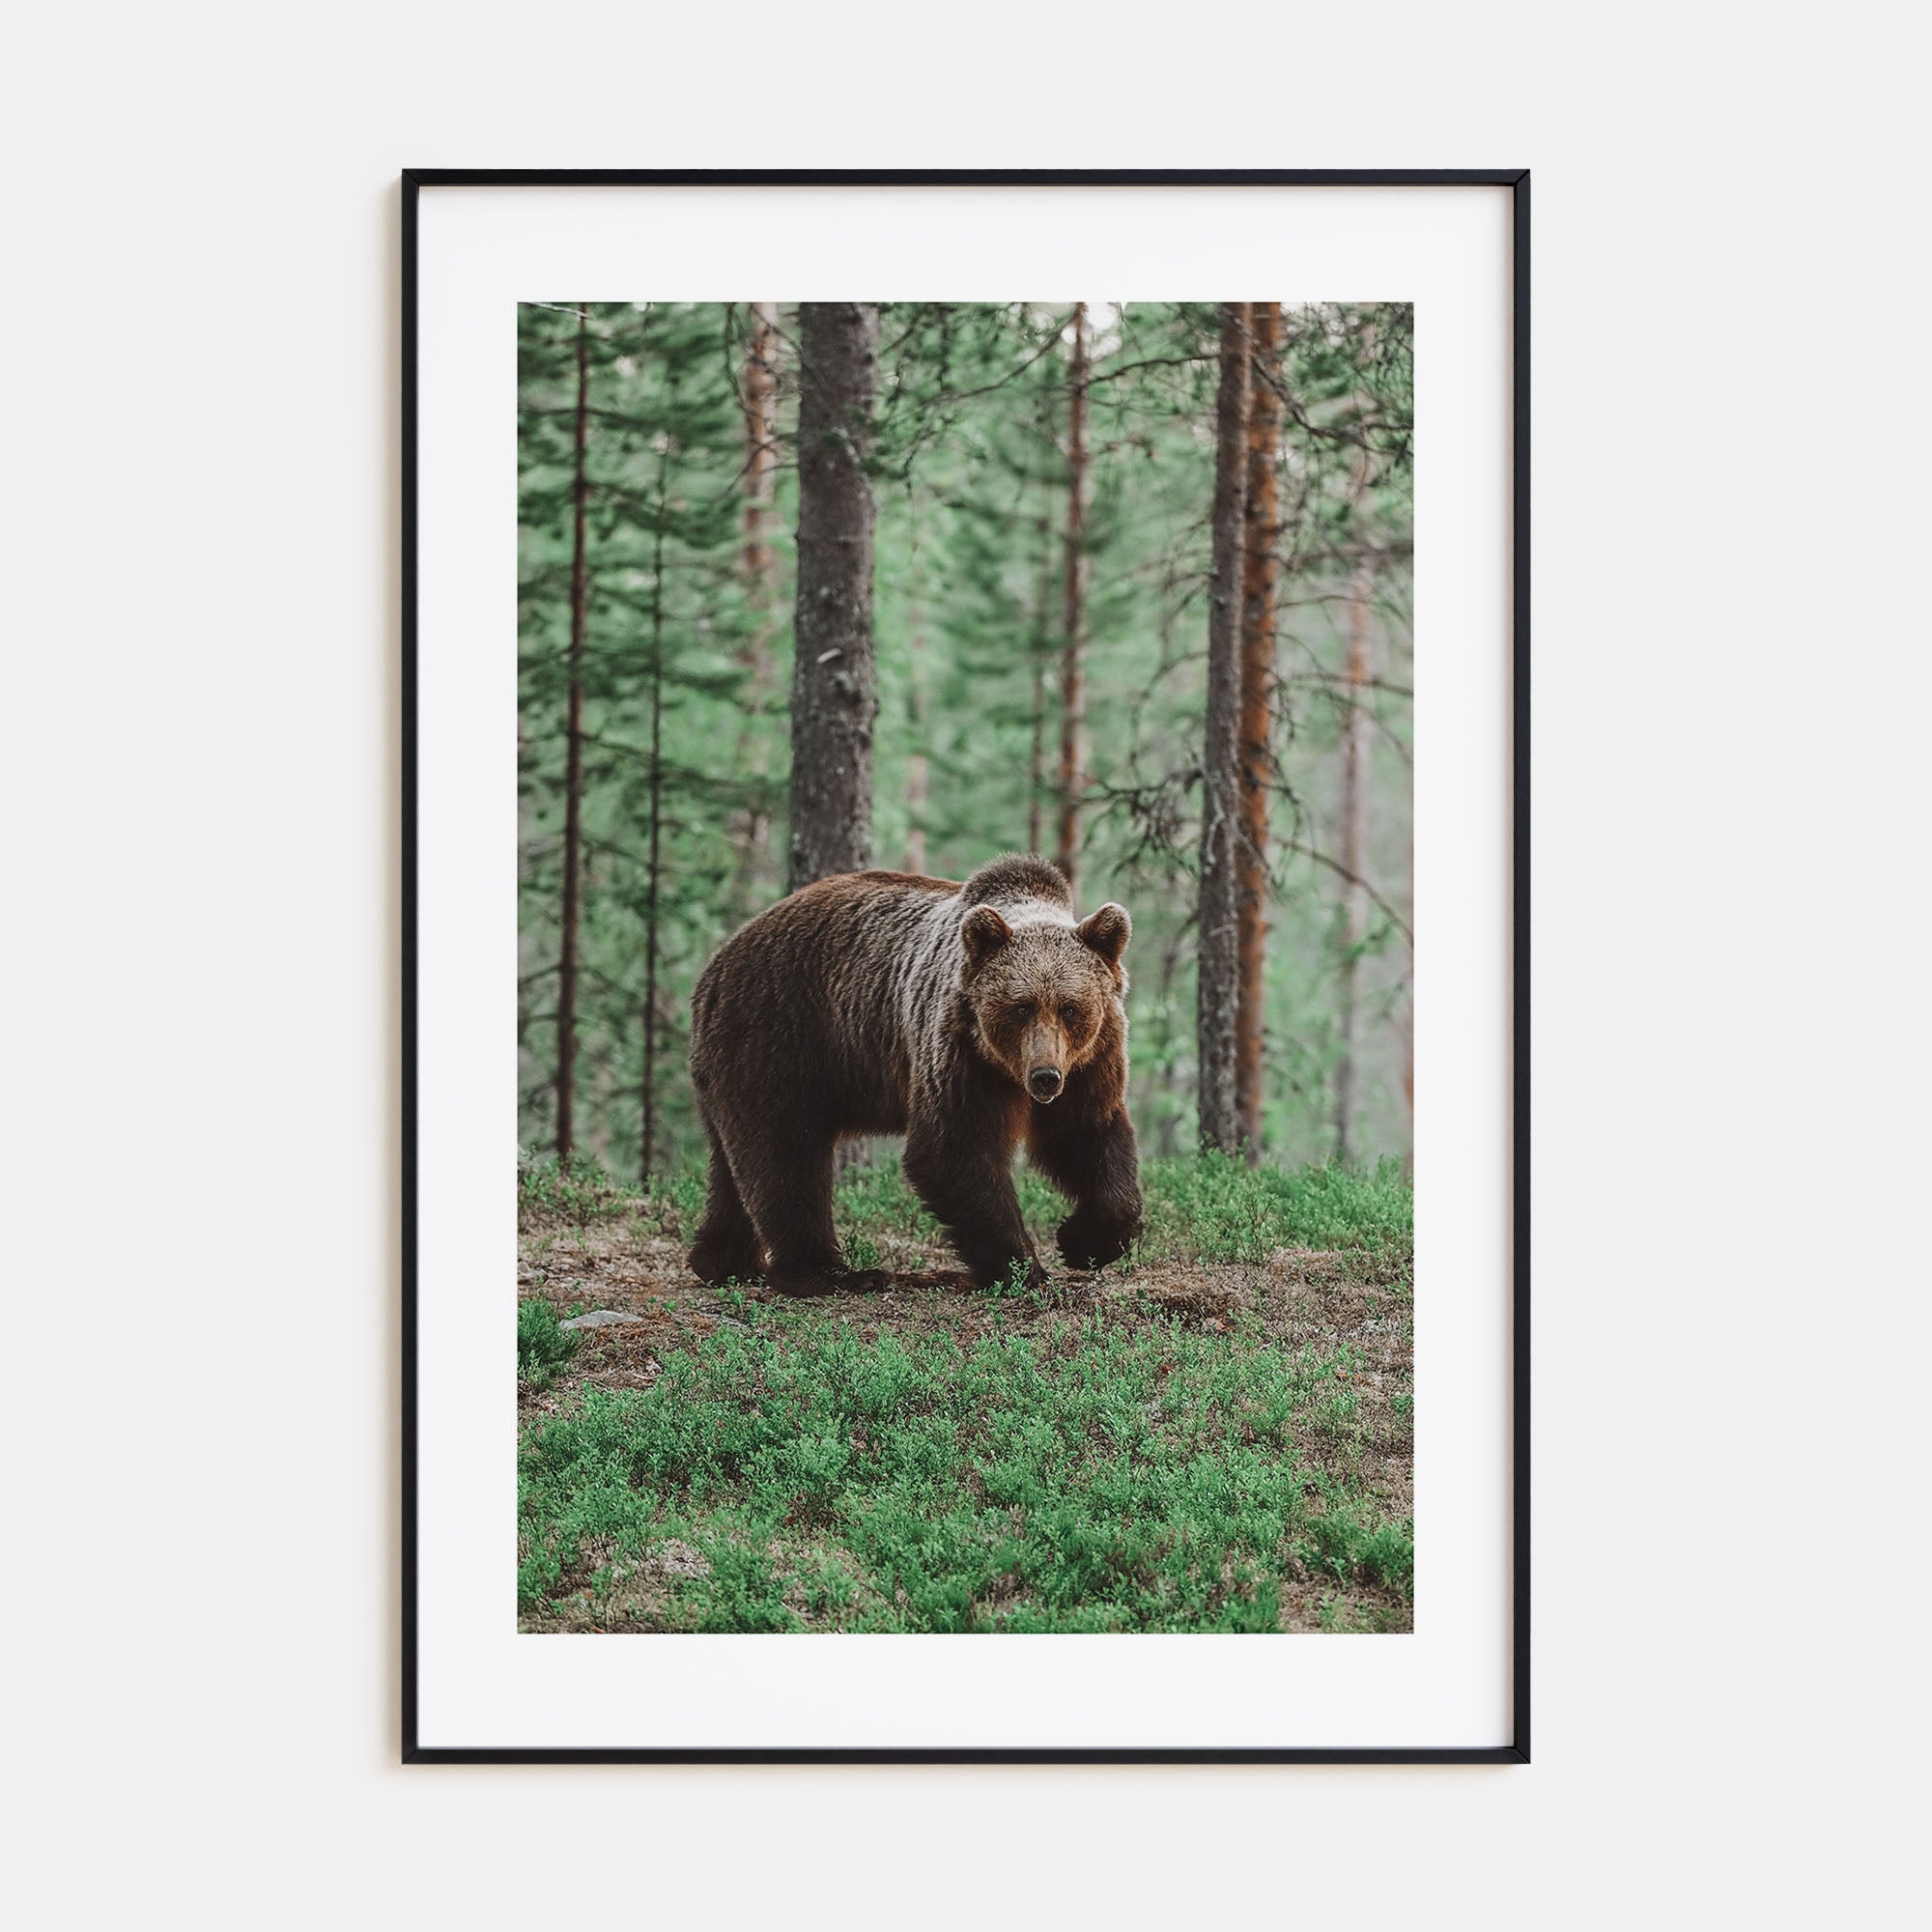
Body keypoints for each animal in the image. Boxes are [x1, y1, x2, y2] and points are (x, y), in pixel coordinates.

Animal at [687, 853, 1143, 1297]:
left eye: (1070, 1008)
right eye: (1021, 1007)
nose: (1045, 1076)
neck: (1006, 1070)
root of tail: (715, 966)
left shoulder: (1089, 1061)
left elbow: (1086, 1135)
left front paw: (1082, 1241)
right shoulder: (959, 1052)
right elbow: (952, 1150)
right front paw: (1023, 1270)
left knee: (734, 1163)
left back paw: (722, 1262)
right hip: (780, 1036)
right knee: (786, 1155)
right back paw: (833, 1273)